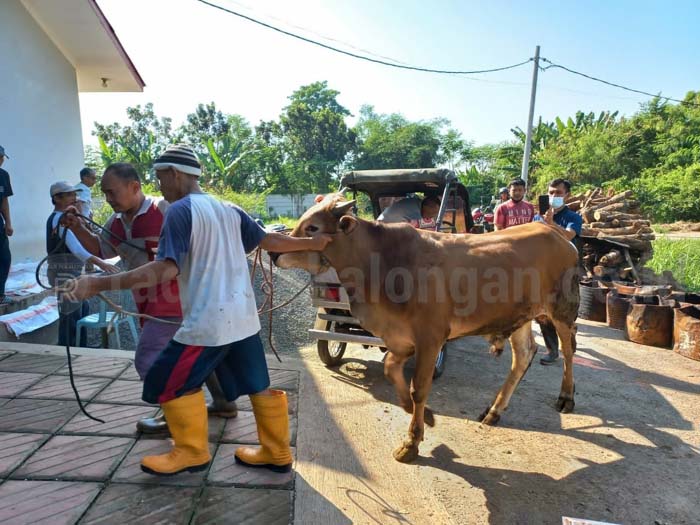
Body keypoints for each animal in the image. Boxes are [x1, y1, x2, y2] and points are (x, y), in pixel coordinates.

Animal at [274, 193, 580, 462]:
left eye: (313, 227)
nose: (276, 254)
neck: (381, 264)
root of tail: (555, 231)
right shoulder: (399, 338)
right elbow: (391, 369)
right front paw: (421, 414)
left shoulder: (431, 338)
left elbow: (419, 388)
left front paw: (411, 442)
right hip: (519, 317)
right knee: (524, 355)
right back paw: (494, 411)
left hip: (563, 308)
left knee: (568, 350)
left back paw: (566, 397)